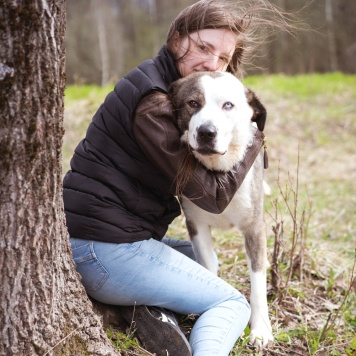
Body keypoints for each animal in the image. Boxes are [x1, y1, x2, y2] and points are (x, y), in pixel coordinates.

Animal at [169, 71, 272, 348]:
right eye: (193, 103)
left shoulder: (254, 228)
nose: (207, 132)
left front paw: (261, 330)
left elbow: (258, 283)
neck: (218, 173)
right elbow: (208, 268)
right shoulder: (196, 225)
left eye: (228, 105)